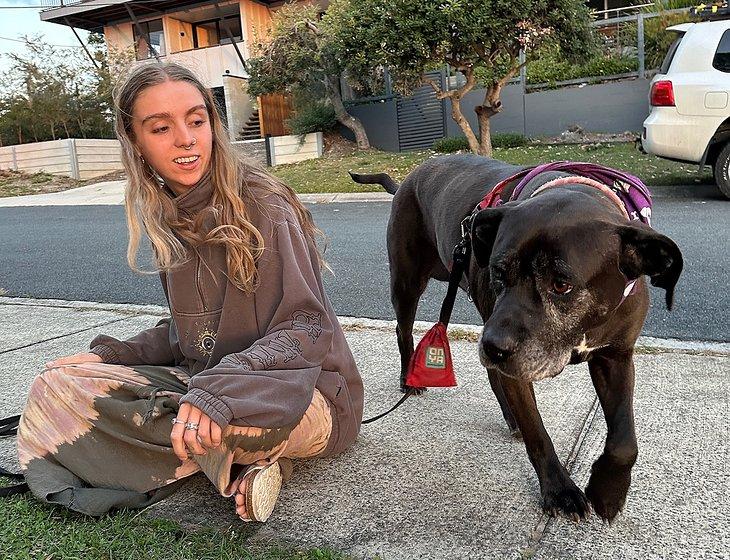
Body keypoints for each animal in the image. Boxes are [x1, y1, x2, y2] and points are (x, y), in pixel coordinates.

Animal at [350, 153, 680, 520]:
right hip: (409, 281)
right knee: (404, 329)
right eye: (498, 272)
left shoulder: (616, 356)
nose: (493, 347)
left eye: (561, 284)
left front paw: (609, 489)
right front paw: (560, 491)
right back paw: (410, 379)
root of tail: (410, 176)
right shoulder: (517, 364)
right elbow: (538, 434)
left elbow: (624, 438)